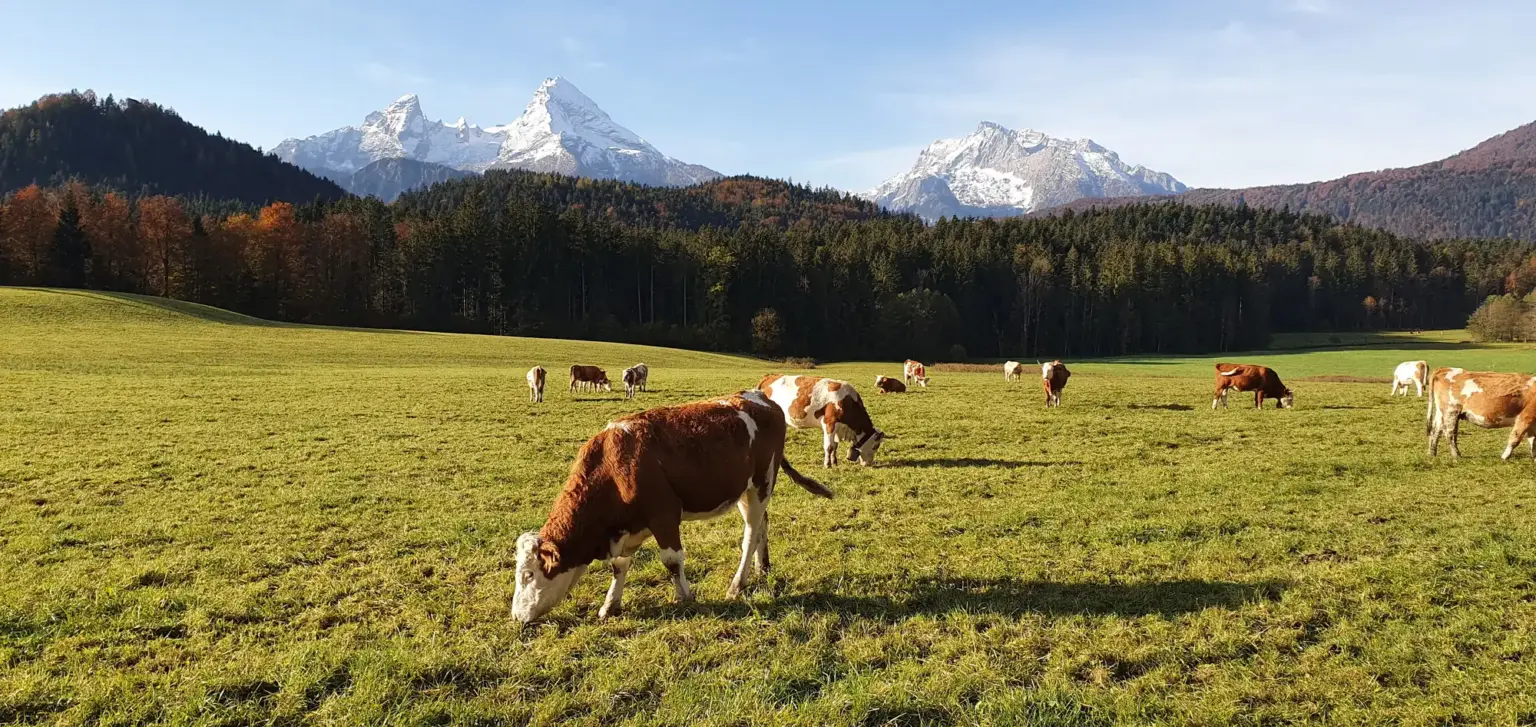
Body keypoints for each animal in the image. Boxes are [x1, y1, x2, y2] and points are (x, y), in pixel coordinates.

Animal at [510, 390, 833, 623]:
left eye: (528, 575)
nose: (516, 616)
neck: (615, 465)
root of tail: (762, 398)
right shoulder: (629, 528)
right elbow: (619, 566)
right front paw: (610, 605)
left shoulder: (664, 516)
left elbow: (672, 560)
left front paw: (684, 597)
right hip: (746, 491)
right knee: (763, 524)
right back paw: (761, 567)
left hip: (762, 482)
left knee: (751, 534)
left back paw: (737, 584)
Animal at [759, 374, 887, 467]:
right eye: (875, 446)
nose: (869, 464)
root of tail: (770, 376)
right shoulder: (829, 423)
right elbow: (829, 446)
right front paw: (827, 464)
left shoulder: (837, 427)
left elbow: (835, 446)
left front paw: (834, 462)